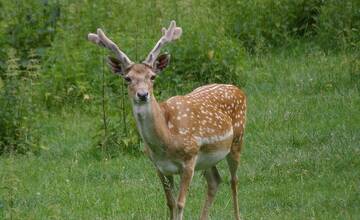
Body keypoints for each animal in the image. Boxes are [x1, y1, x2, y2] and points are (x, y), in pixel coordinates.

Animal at [88, 20, 246, 220]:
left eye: (152, 76)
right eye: (127, 78)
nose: (143, 94)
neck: (167, 140)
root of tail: (237, 89)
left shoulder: (189, 159)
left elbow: (180, 204)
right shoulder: (159, 166)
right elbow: (170, 203)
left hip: (237, 139)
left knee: (234, 180)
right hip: (208, 158)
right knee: (215, 181)